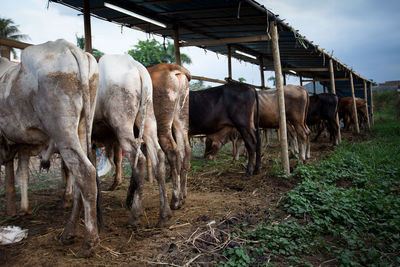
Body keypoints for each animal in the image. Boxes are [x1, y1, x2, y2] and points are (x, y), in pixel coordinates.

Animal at [0, 39, 99, 258]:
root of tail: (70, 47)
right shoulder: (22, 145)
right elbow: (21, 174)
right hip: (81, 128)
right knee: (79, 177)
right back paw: (68, 233)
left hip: (63, 129)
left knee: (86, 172)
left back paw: (89, 242)